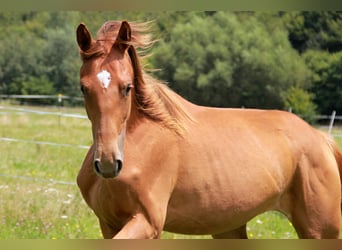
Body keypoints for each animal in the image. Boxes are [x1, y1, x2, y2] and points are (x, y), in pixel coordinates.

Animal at [76, 20, 342, 238]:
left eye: (127, 87)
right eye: (83, 88)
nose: (108, 163)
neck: (141, 141)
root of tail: (321, 138)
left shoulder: (147, 223)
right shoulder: (109, 224)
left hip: (320, 230)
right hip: (230, 227)